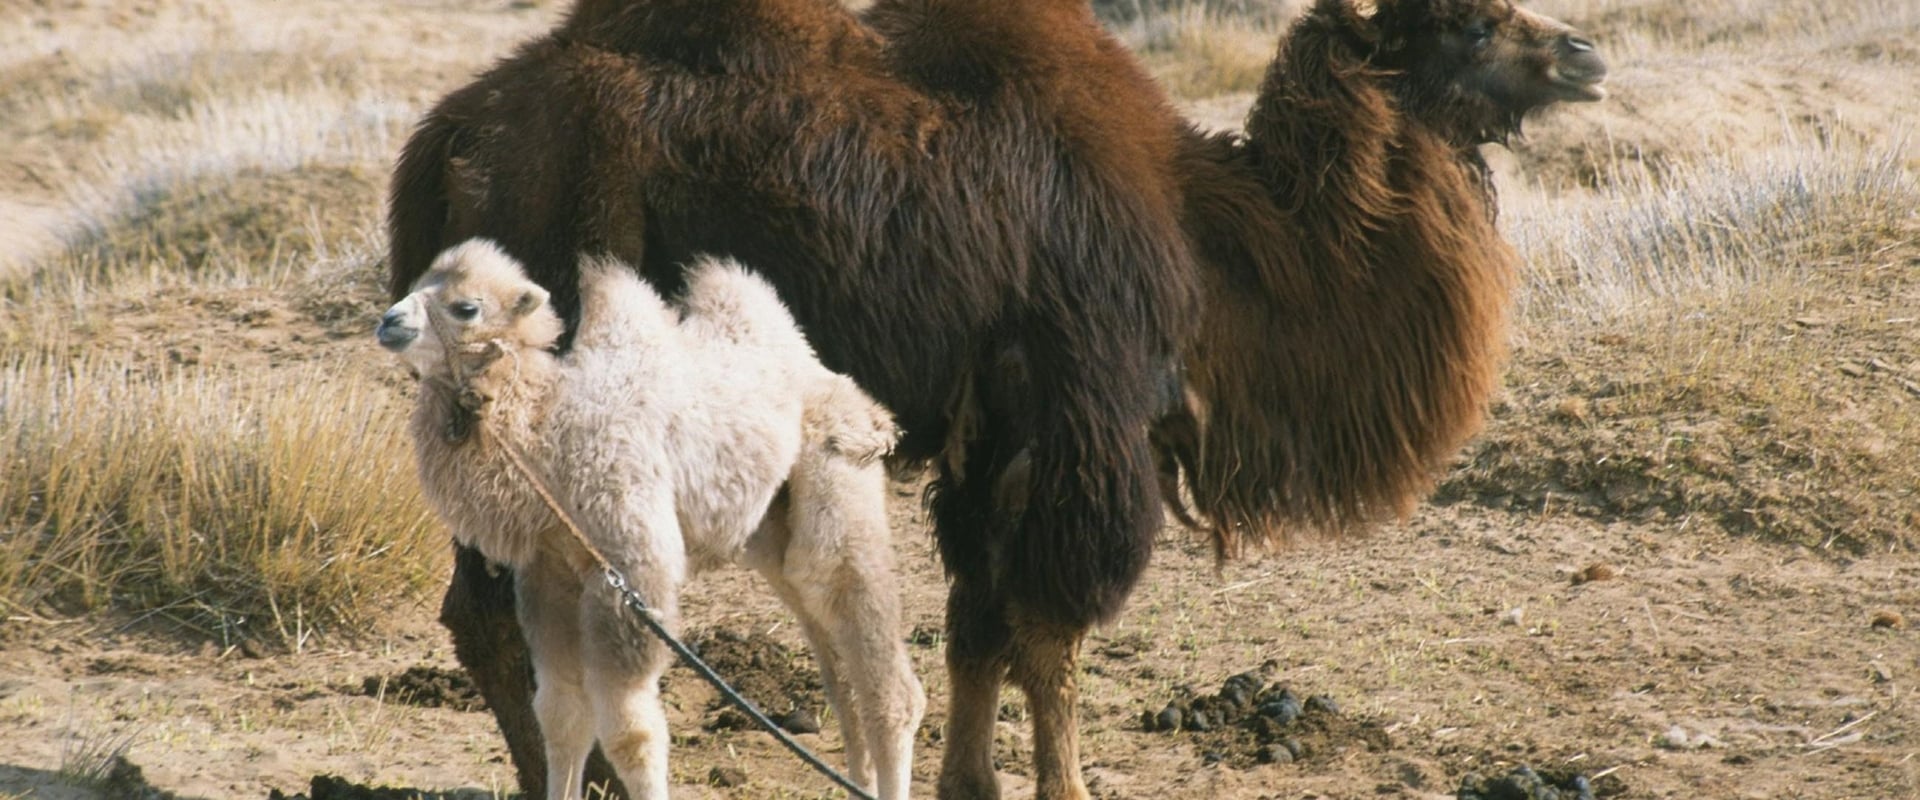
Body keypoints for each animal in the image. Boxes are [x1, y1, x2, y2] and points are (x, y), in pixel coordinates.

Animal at [378, 0, 1605, 794]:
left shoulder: (997, 432)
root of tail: (445, 138)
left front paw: (970, 780)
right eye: (1469, 22)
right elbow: (1050, 625)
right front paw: (1064, 786)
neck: (1213, 239)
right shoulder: (1085, 419)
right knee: (497, 612)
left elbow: (979, 619)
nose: (1588, 53)